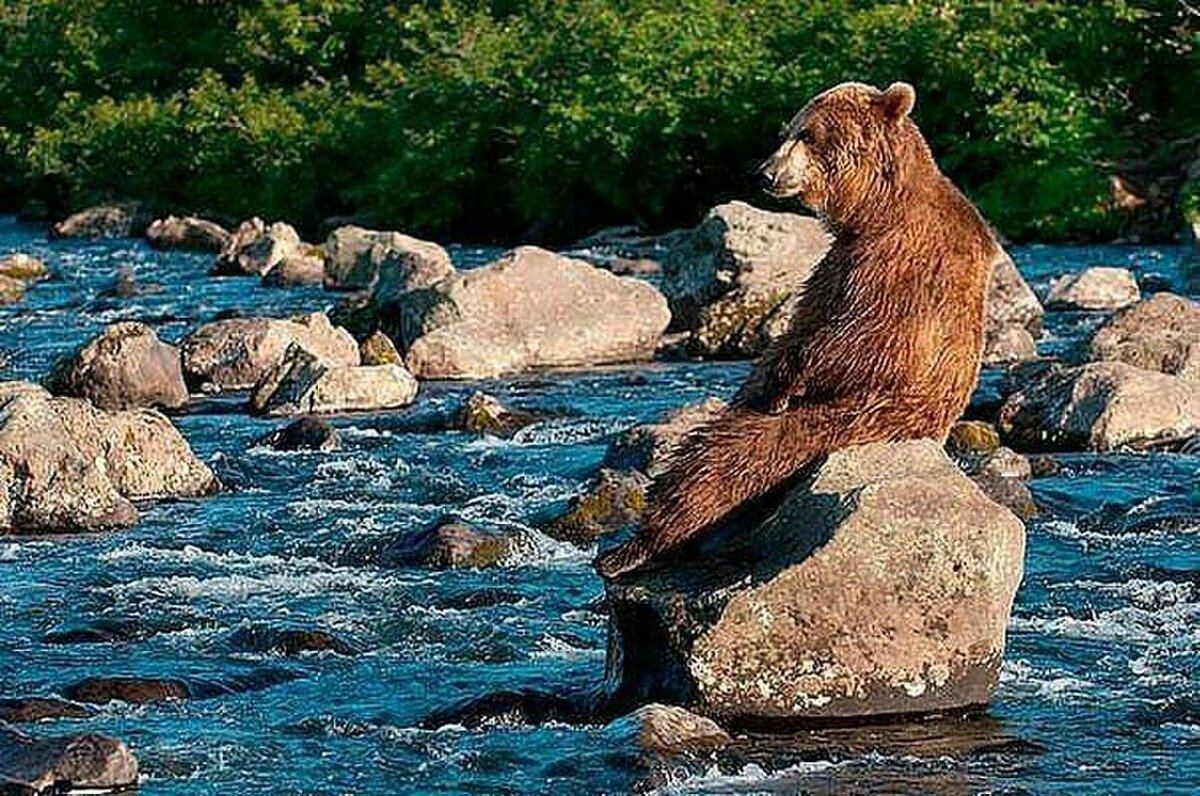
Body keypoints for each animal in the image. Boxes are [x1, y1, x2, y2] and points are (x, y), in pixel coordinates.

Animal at [596, 82, 1002, 578]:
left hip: (851, 421)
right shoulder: (838, 262)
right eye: (787, 130)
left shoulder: (902, 260)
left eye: (807, 134)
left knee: (729, 458)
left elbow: (870, 338)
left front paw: (787, 379)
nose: (764, 173)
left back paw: (636, 547)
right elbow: (800, 326)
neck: (874, 209)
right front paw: (766, 380)